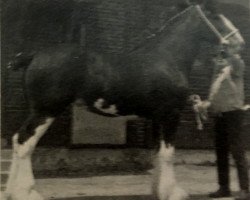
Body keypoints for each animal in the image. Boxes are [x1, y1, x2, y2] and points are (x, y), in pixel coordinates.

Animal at [4, 3, 245, 200]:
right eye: (216, 15)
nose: (239, 43)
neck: (167, 58)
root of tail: (33, 56)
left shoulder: (157, 118)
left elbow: (158, 153)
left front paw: (158, 191)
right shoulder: (170, 114)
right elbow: (168, 154)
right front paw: (173, 193)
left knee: (17, 140)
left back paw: (9, 192)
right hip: (46, 110)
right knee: (25, 142)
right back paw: (27, 193)